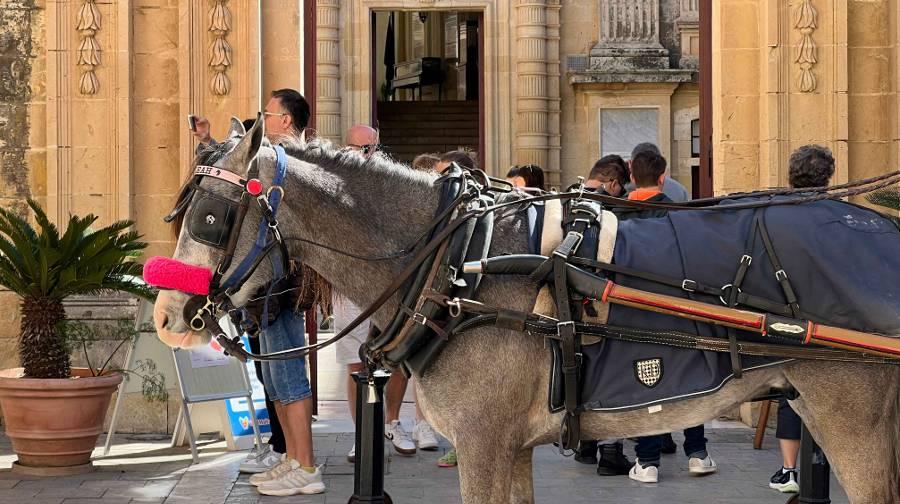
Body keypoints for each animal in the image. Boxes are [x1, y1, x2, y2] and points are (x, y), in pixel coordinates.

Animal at [155, 119, 900, 504]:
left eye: (212, 217)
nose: (164, 315)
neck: (454, 259)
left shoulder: (484, 444)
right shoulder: (508, 447)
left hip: (850, 418)